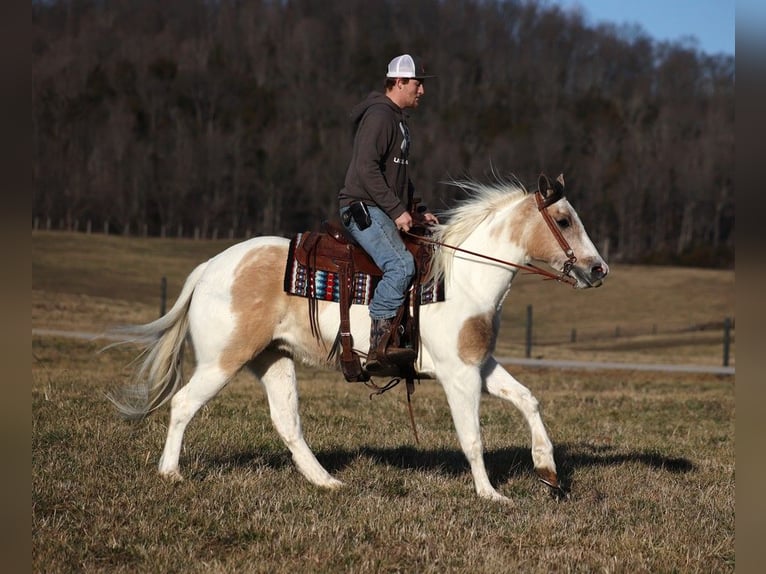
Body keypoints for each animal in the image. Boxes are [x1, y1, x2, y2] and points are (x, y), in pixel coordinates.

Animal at [109, 172, 612, 504]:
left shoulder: (478, 364)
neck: (464, 278)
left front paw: (548, 471)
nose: (598, 270)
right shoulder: (459, 376)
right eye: (564, 221)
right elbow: (472, 437)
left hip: (273, 359)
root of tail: (210, 267)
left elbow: (528, 400)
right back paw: (171, 473)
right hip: (223, 360)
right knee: (183, 403)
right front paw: (490, 494)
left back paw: (327, 482)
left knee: (287, 423)